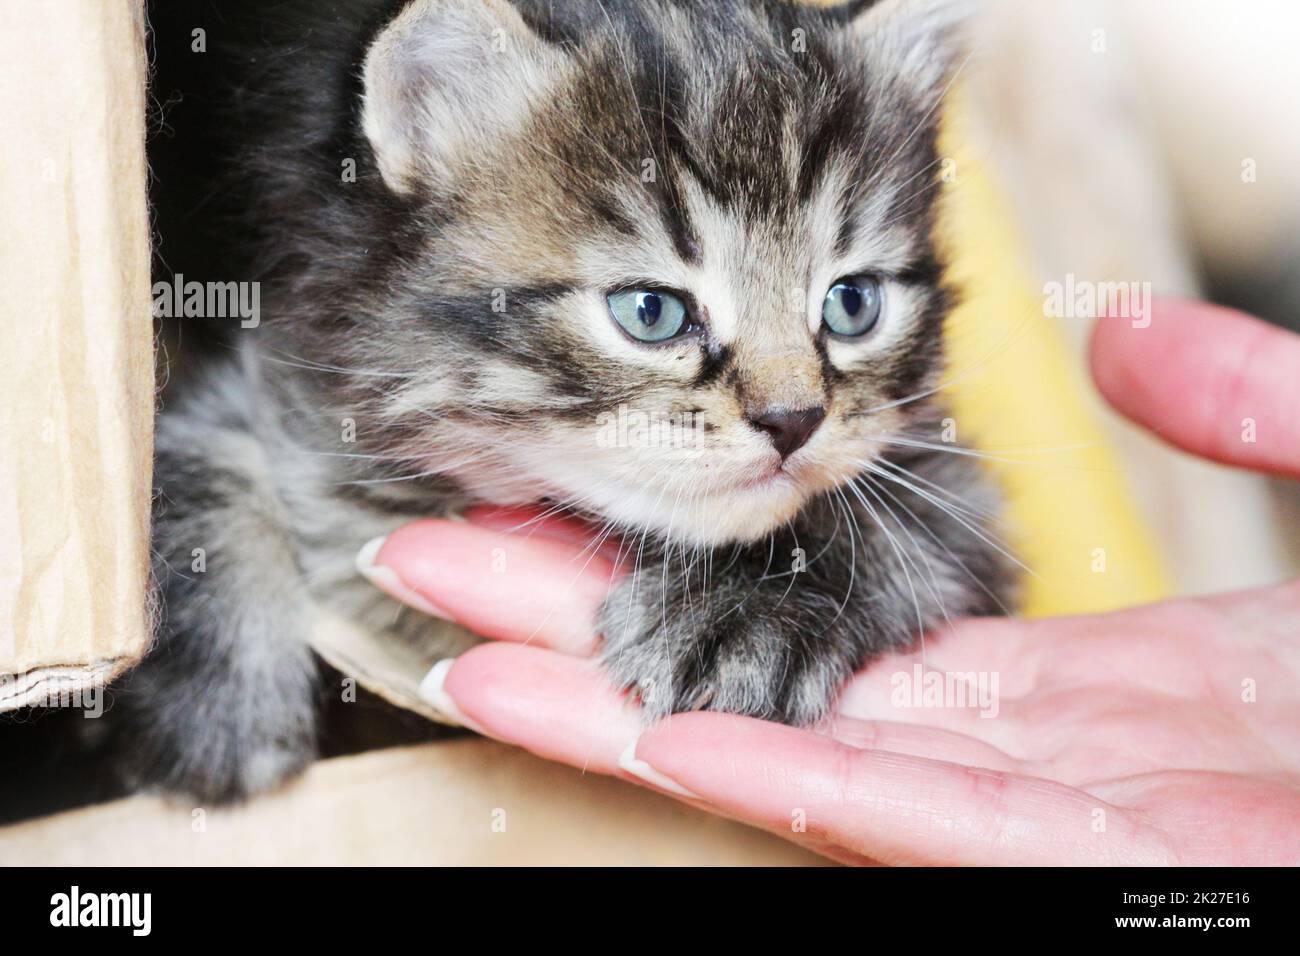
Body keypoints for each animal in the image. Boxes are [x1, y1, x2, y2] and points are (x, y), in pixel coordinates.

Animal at [131, 0, 1008, 806]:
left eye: (851, 304)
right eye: (650, 312)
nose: (794, 421)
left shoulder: (958, 487)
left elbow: (889, 519)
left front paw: (747, 609)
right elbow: (199, 457)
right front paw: (218, 708)